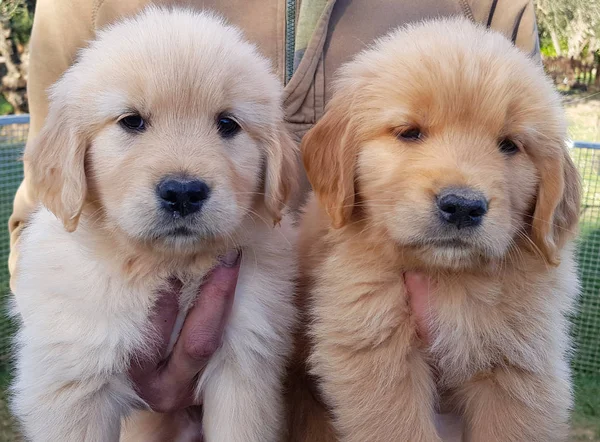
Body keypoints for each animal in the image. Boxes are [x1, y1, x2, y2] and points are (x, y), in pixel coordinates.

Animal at [8, 6, 298, 442]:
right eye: (132, 121)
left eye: (228, 124)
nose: (183, 192)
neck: (165, 266)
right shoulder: (75, 379)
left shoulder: (245, 358)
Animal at [300, 16, 580, 442]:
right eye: (409, 132)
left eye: (509, 145)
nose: (463, 206)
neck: (451, 280)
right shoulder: (372, 348)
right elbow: (398, 427)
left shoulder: (523, 365)